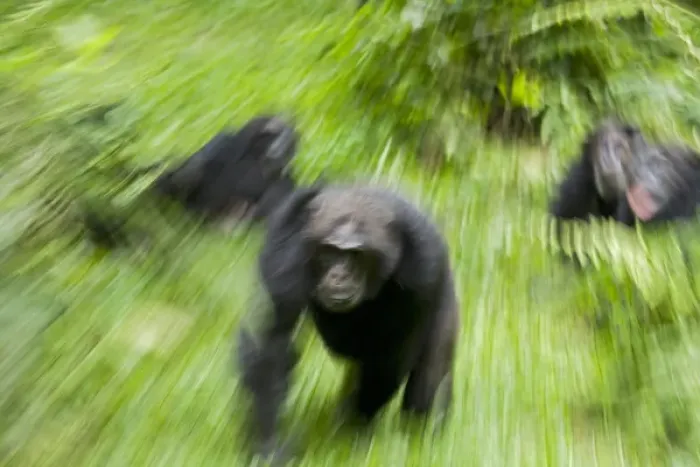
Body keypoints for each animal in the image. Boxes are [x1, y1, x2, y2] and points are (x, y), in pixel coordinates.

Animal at [235, 184, 460, 463]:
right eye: (331, 251)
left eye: (356, 255)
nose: (340, 276)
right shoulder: (284, 248)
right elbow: (273, 341)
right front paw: (268, 445)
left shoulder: (424, 269)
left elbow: (391, 357)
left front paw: (350, 433)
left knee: (430, 375)